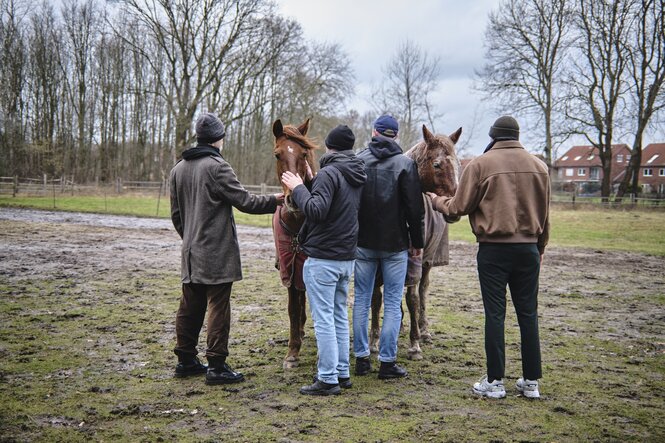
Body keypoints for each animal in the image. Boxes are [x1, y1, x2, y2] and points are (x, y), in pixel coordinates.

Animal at [368, 124, 462, 360]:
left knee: (423, 291)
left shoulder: (414, 262)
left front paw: (414, 344)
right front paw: (374, 341)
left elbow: (413, 298)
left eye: (457, 164)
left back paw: (424, 330)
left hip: (428, 261)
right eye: (437, 164)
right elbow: (376, 298)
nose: (453, 208)